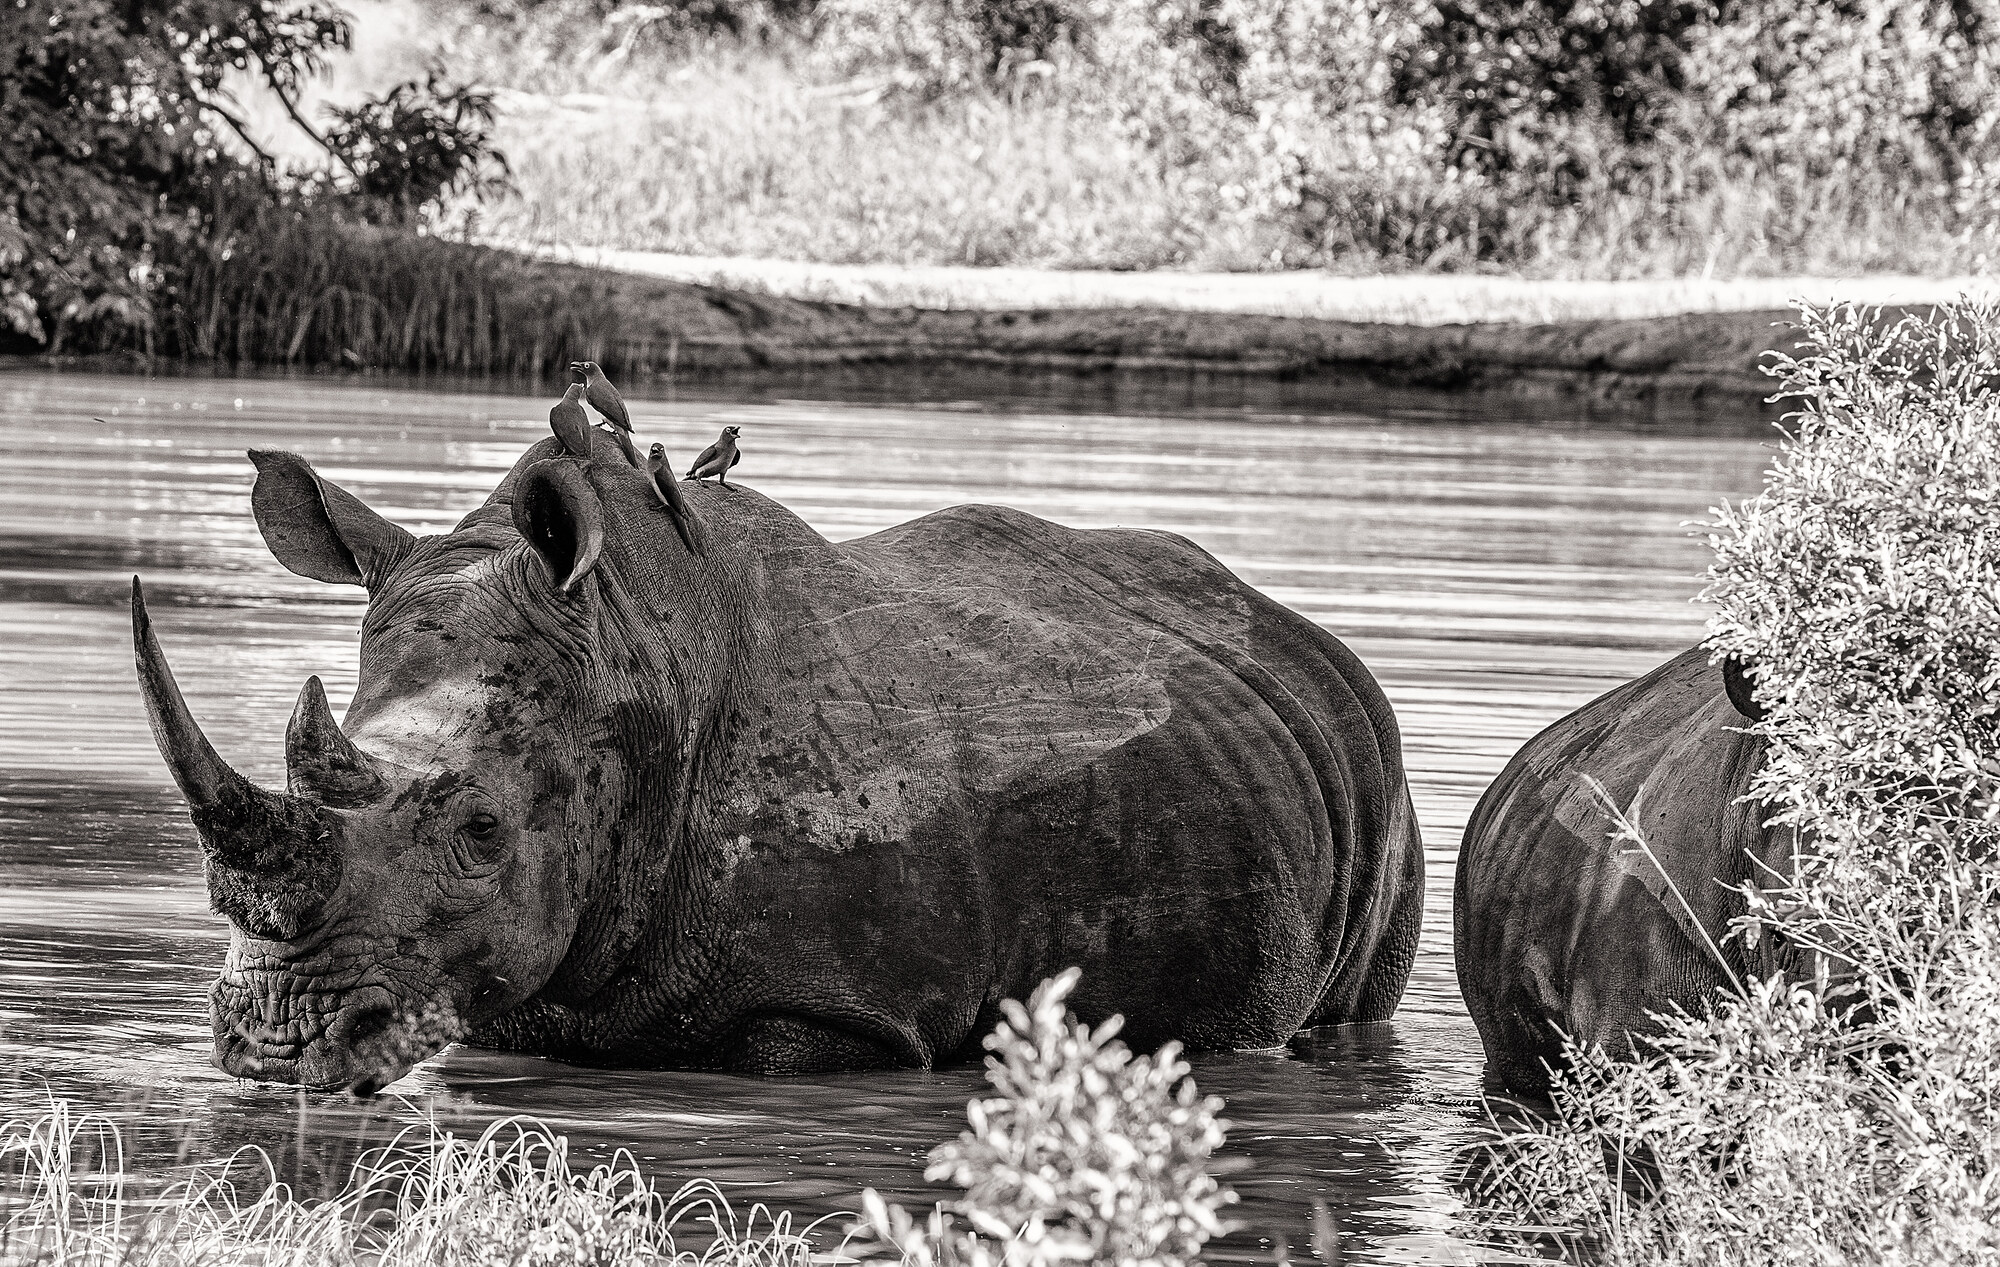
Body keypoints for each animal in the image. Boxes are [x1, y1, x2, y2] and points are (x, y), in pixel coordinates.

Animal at [132, 418, 1425, 1092]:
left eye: (482, 829)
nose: (272, 1045)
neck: (630, 661)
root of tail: (1306, 639)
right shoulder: (501, 975)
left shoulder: (840, 1013)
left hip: (1383, 794)